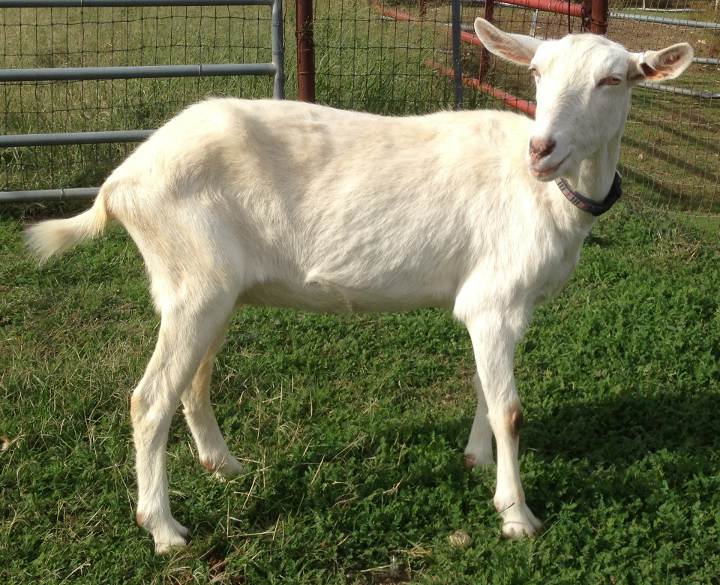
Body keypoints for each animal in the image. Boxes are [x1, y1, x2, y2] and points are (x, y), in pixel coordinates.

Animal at [26, 20, 692, 552]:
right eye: (535, 71)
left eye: (614, 80)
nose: (541, 149)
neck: (547, 195)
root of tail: (120, 183)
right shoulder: (496, 298)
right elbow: (510, 408)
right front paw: (517, 517)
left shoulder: (496, 308)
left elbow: (485, 390)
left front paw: (476, 461)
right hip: (194, 282)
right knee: (149, 400)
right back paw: (165, 530)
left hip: (207, 291)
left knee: (193, 381)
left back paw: (227, 467)